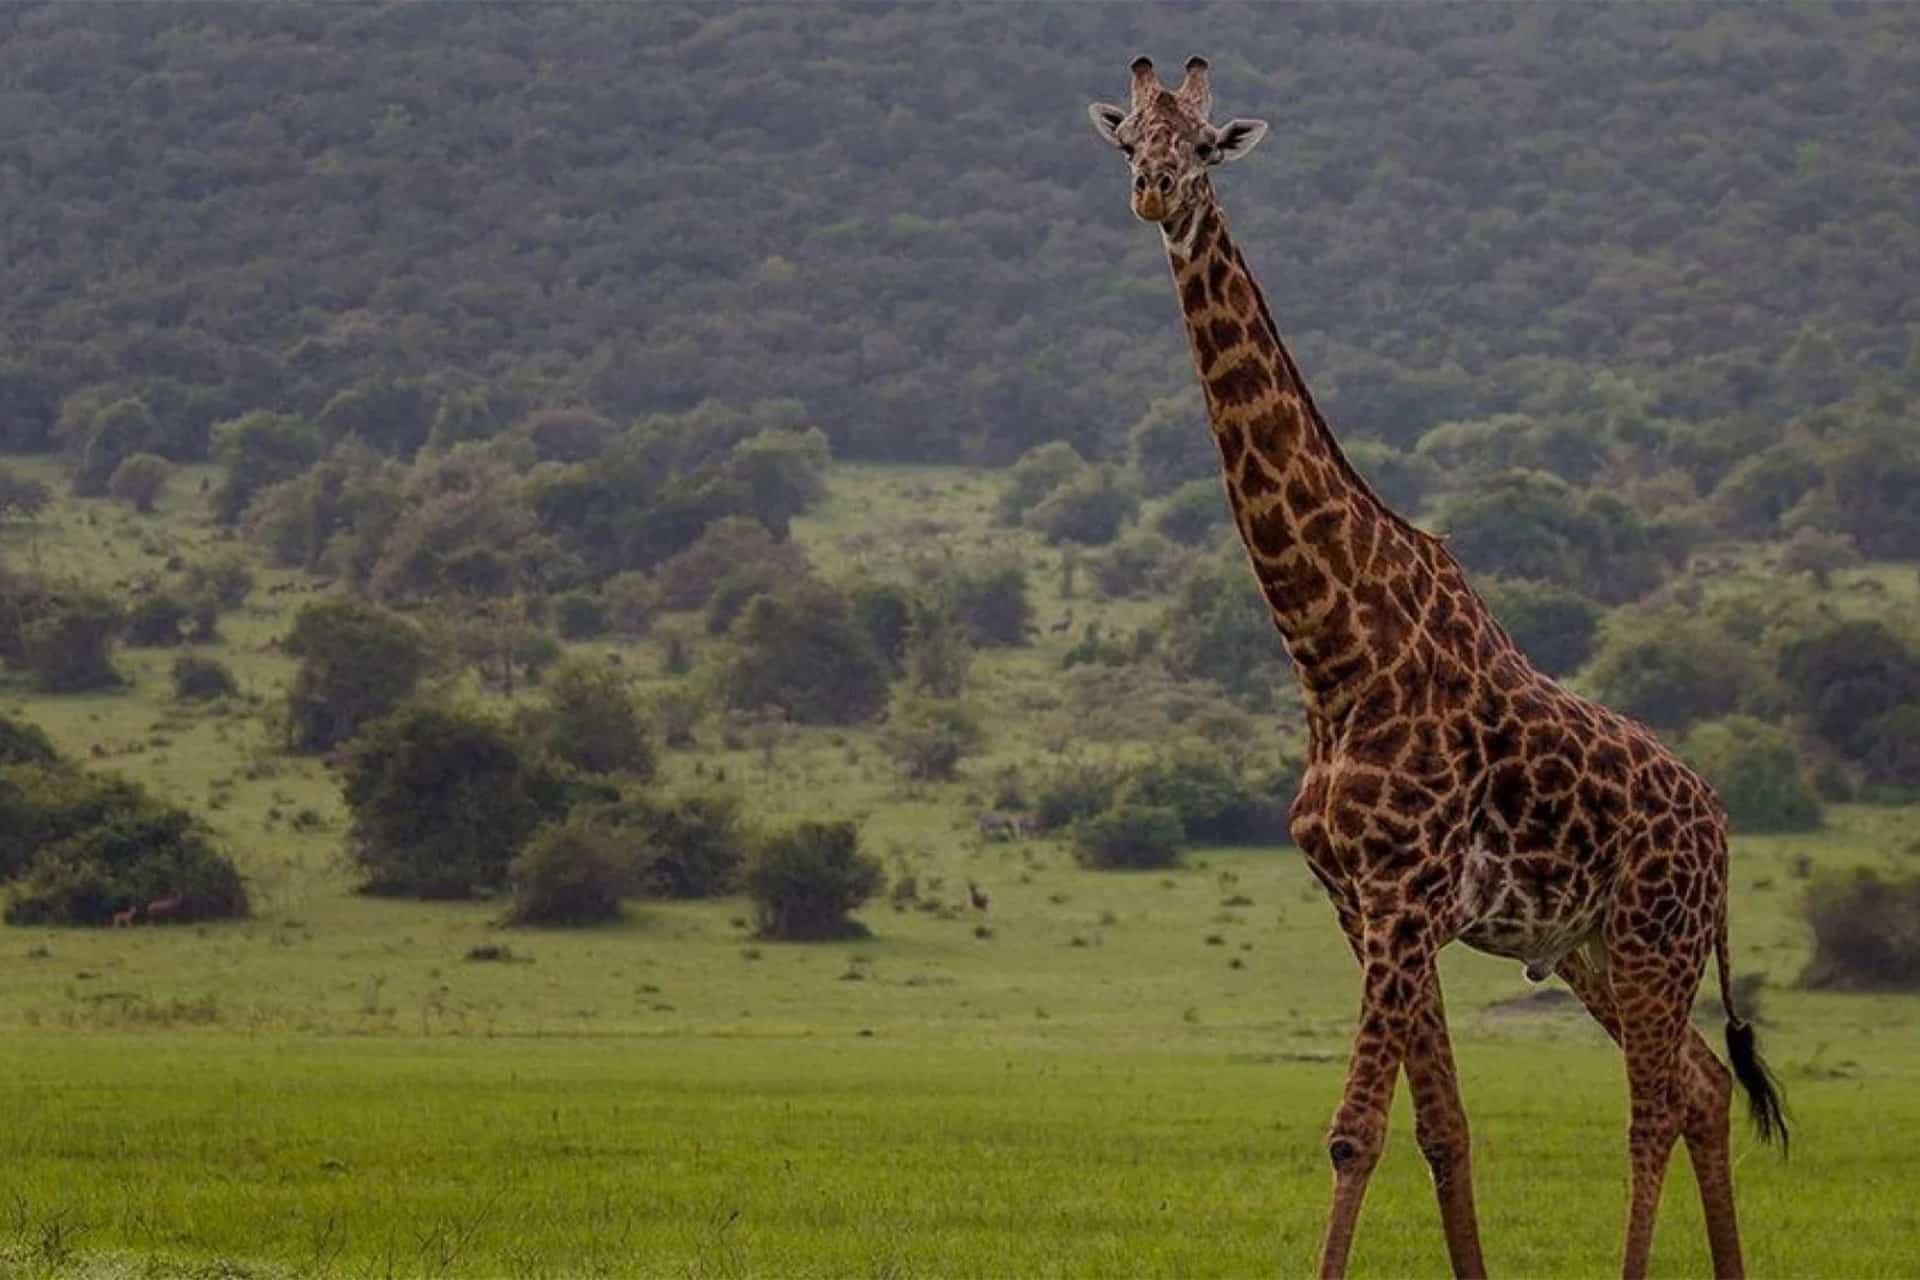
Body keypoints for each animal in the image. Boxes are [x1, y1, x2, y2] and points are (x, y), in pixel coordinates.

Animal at [1090, 55, 1789, 1274]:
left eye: (1205, 145)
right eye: (1128, 137)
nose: (1154, 193)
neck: (1332, 648)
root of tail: (1721, 830)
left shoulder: (1405, 895)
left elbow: (1354, 1133)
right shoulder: (1363, 905)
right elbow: (1443, 1128)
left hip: (1654, 940)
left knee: (1655, 1103)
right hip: (1592, 948)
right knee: (1704, 1088)